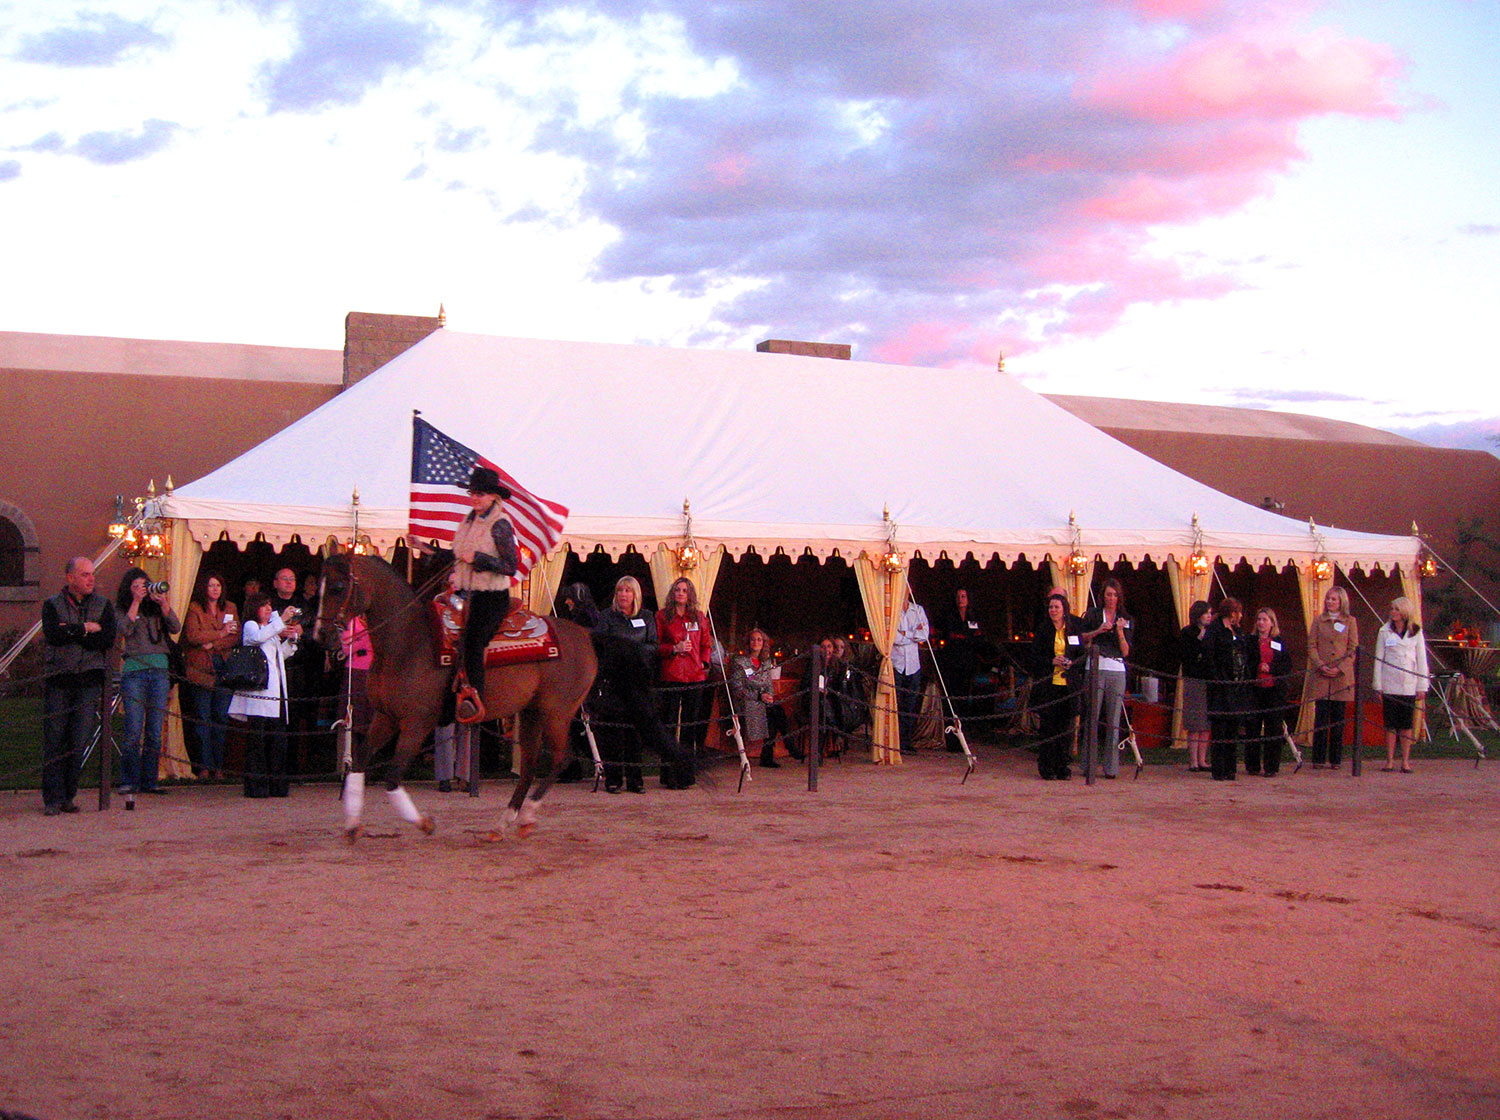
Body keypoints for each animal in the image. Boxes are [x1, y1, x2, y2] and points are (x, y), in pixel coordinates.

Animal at [316, 551, 597, 839]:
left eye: (338, 587)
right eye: (321, 586)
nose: (321, 635)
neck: (408, 642)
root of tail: (583, 635)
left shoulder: (416, 723)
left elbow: (392, 777)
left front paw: (424, 823)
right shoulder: (386, 717)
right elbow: (359, 762)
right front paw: (352, 825)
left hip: (557, 712)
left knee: (561, 760)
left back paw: (527, 816)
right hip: (532, 712)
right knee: (529, 767)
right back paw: (502, 824)